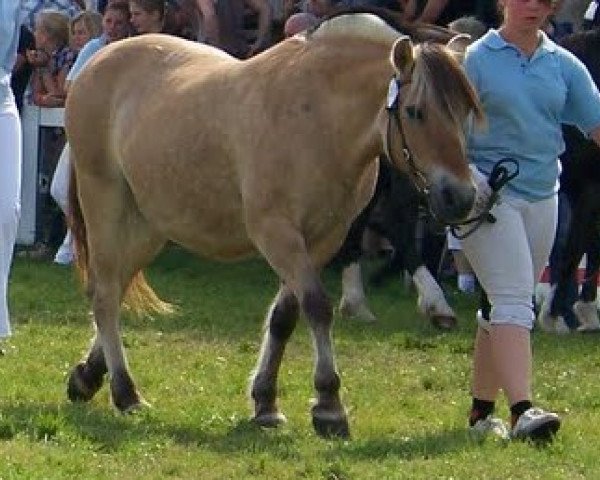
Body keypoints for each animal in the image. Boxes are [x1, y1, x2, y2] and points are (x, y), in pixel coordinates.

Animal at [64, 12, 482, 438]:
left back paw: (88, 375)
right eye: (415, 112)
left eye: (464, 112)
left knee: (115, 287)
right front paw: (329, 405)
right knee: (105, 294)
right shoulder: (277, 233)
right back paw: (125, 392)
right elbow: (316, 306)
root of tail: (97, 62)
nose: (461, 197)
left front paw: (266, 403)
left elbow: (285, 316)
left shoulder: (321, 240)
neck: (317, 119)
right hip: (106, 207)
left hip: (151, 225)